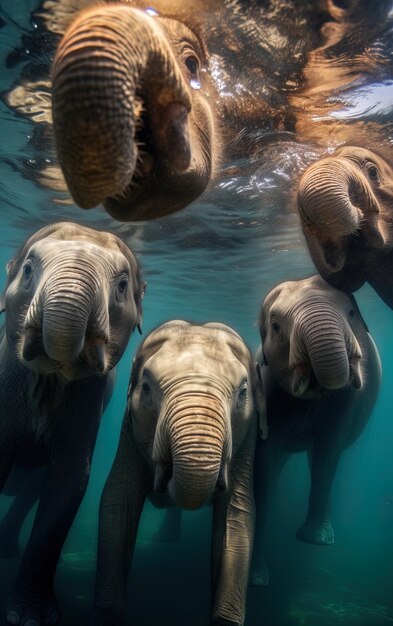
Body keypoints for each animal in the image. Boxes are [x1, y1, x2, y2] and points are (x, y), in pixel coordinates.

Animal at [90, 320, 264, 624]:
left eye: (243, 393)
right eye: (146, 388)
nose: (164, 480)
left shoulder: (248, 436)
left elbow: (238, 514)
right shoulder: (130, 431)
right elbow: (116, 503)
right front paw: (107, 615)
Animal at [250, 272, 382, 584]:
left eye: (352, 312)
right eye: (275, 326)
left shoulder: (345, 405)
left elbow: (328, 449)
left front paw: (314, 541)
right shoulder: (266, 393)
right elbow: (264, 463)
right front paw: (256, 581)